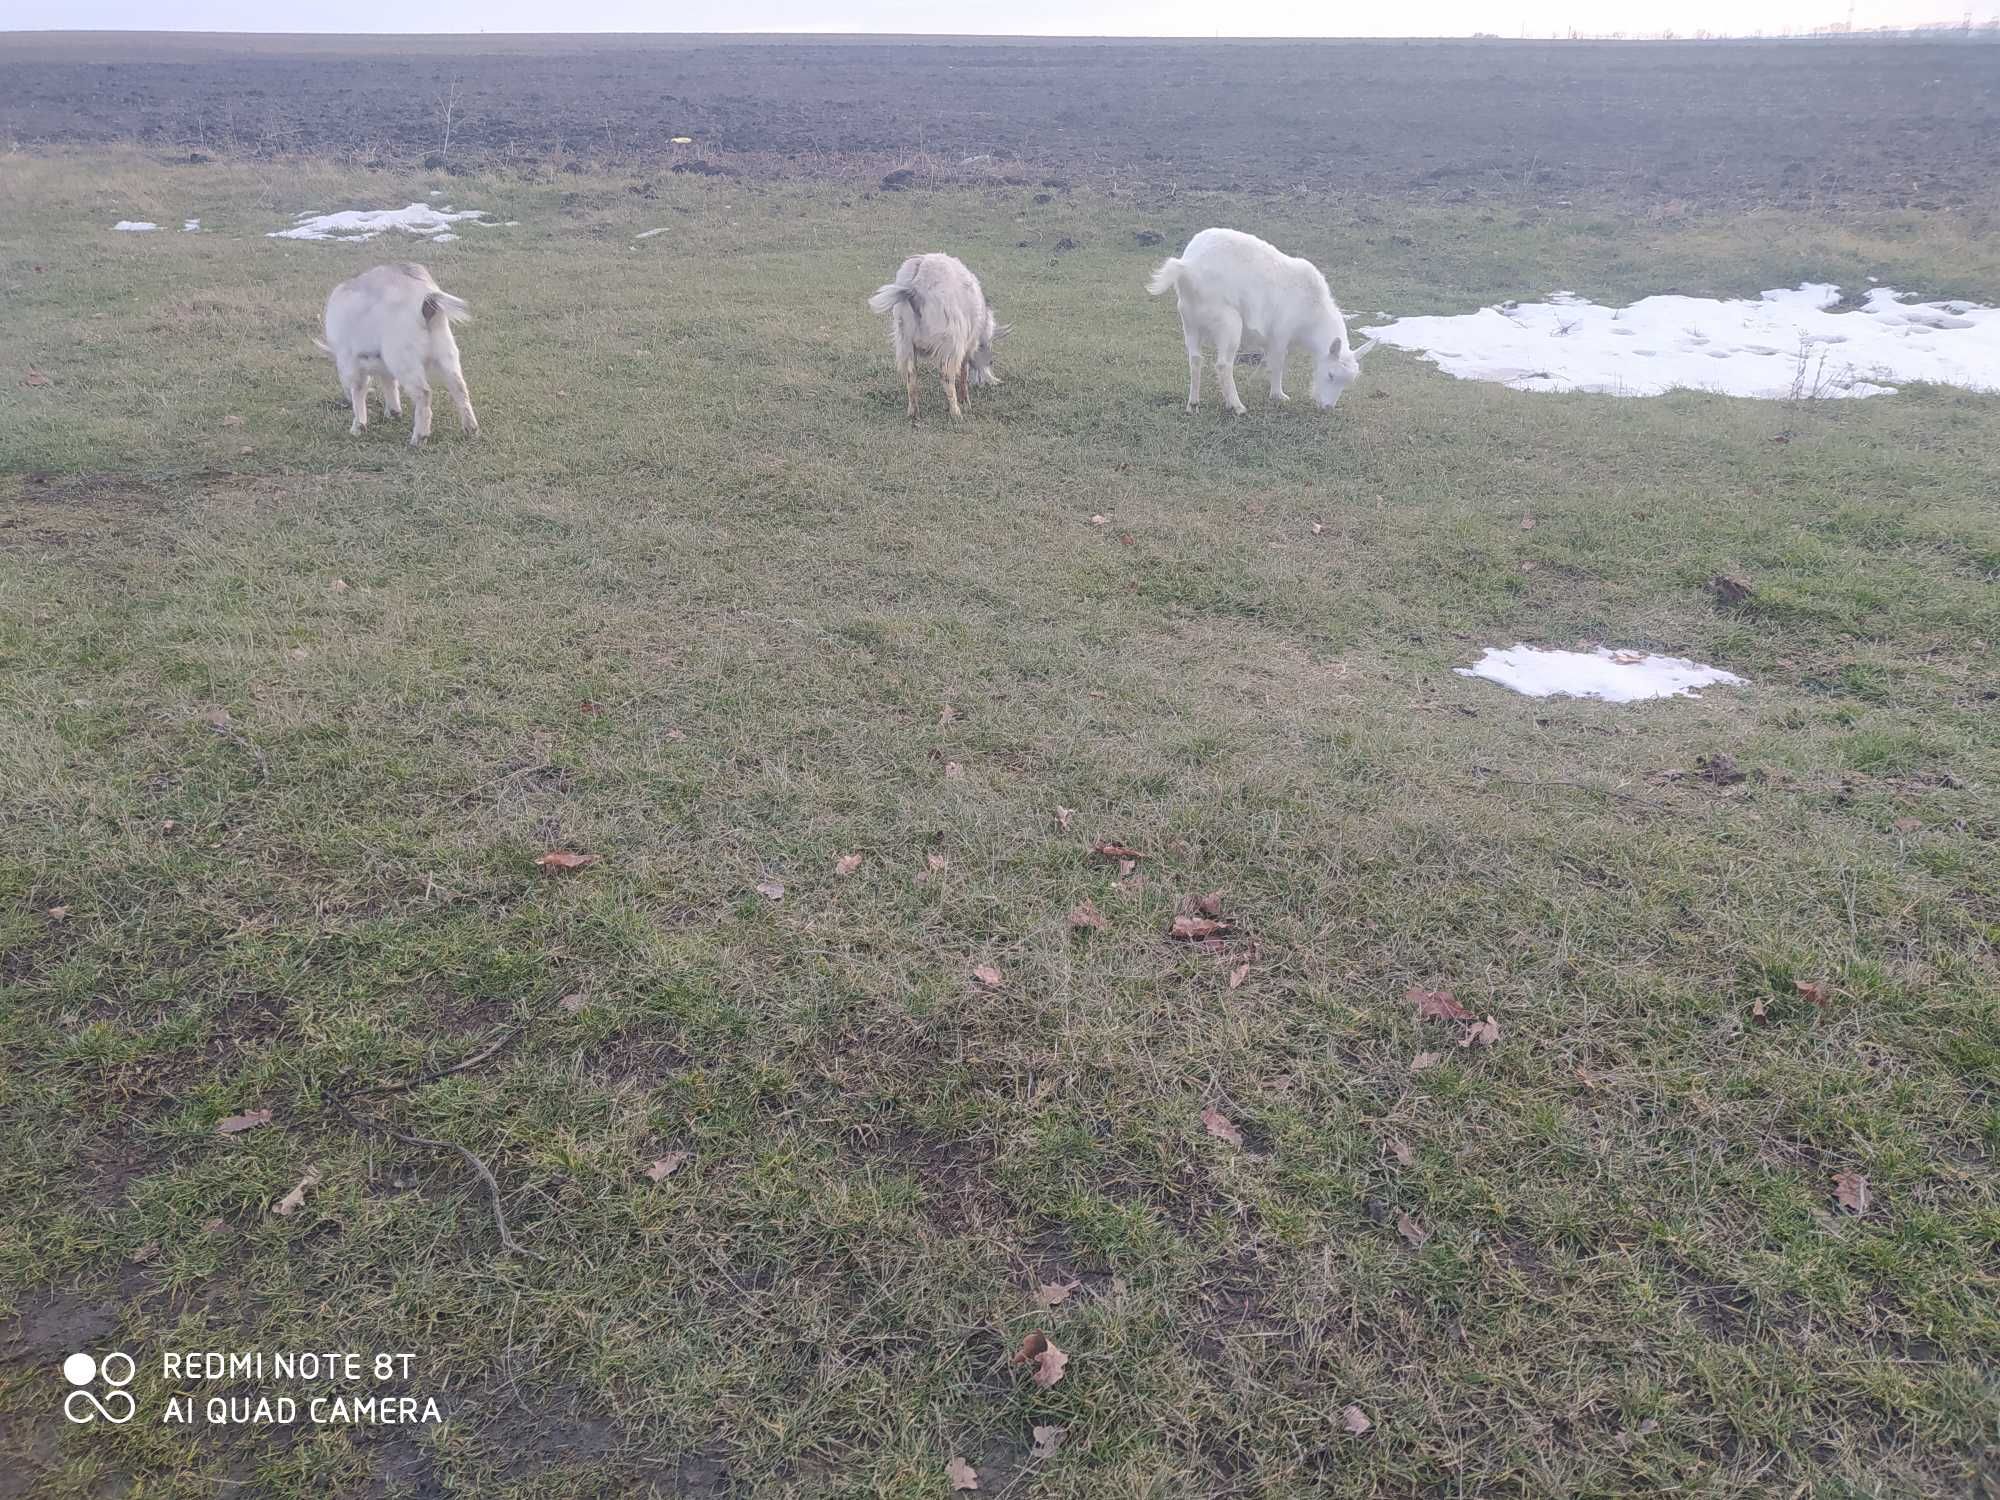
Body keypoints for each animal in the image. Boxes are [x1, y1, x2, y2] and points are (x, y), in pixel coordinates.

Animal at [316, 262, 480, 446]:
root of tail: (426, 298)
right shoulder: (382, 364)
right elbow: (389, 382)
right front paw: (393, 412)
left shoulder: (350, 361)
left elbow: (359, 388)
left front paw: (358, 427)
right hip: (445, 351)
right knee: (459, 387)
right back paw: (471, 429)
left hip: (403, 357)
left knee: (424, 393)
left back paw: (419, 438)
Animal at [868, 256, 1008, 424]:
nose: (990, 362)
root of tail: (915, 285)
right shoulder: (966, 345)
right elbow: (964, 371)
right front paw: (966, 401)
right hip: (950, 342)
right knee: (946, 376)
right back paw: (956, 413)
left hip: (905, 340)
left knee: (911, 375)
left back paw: (913, 413)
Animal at [1144, 229, 1376, 418]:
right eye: (1330, 374)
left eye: (1348, 382)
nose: (1327, 407)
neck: (1313, 310)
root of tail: (1187, 267)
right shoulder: (1281, 335)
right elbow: (1278, 364)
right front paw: (1278, 395)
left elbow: (1266, 361)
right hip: (1228, 322)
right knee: (1223, 364)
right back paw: (1237, 406)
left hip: (1189, 320)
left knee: (1195, 359)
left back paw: (1193, 405)